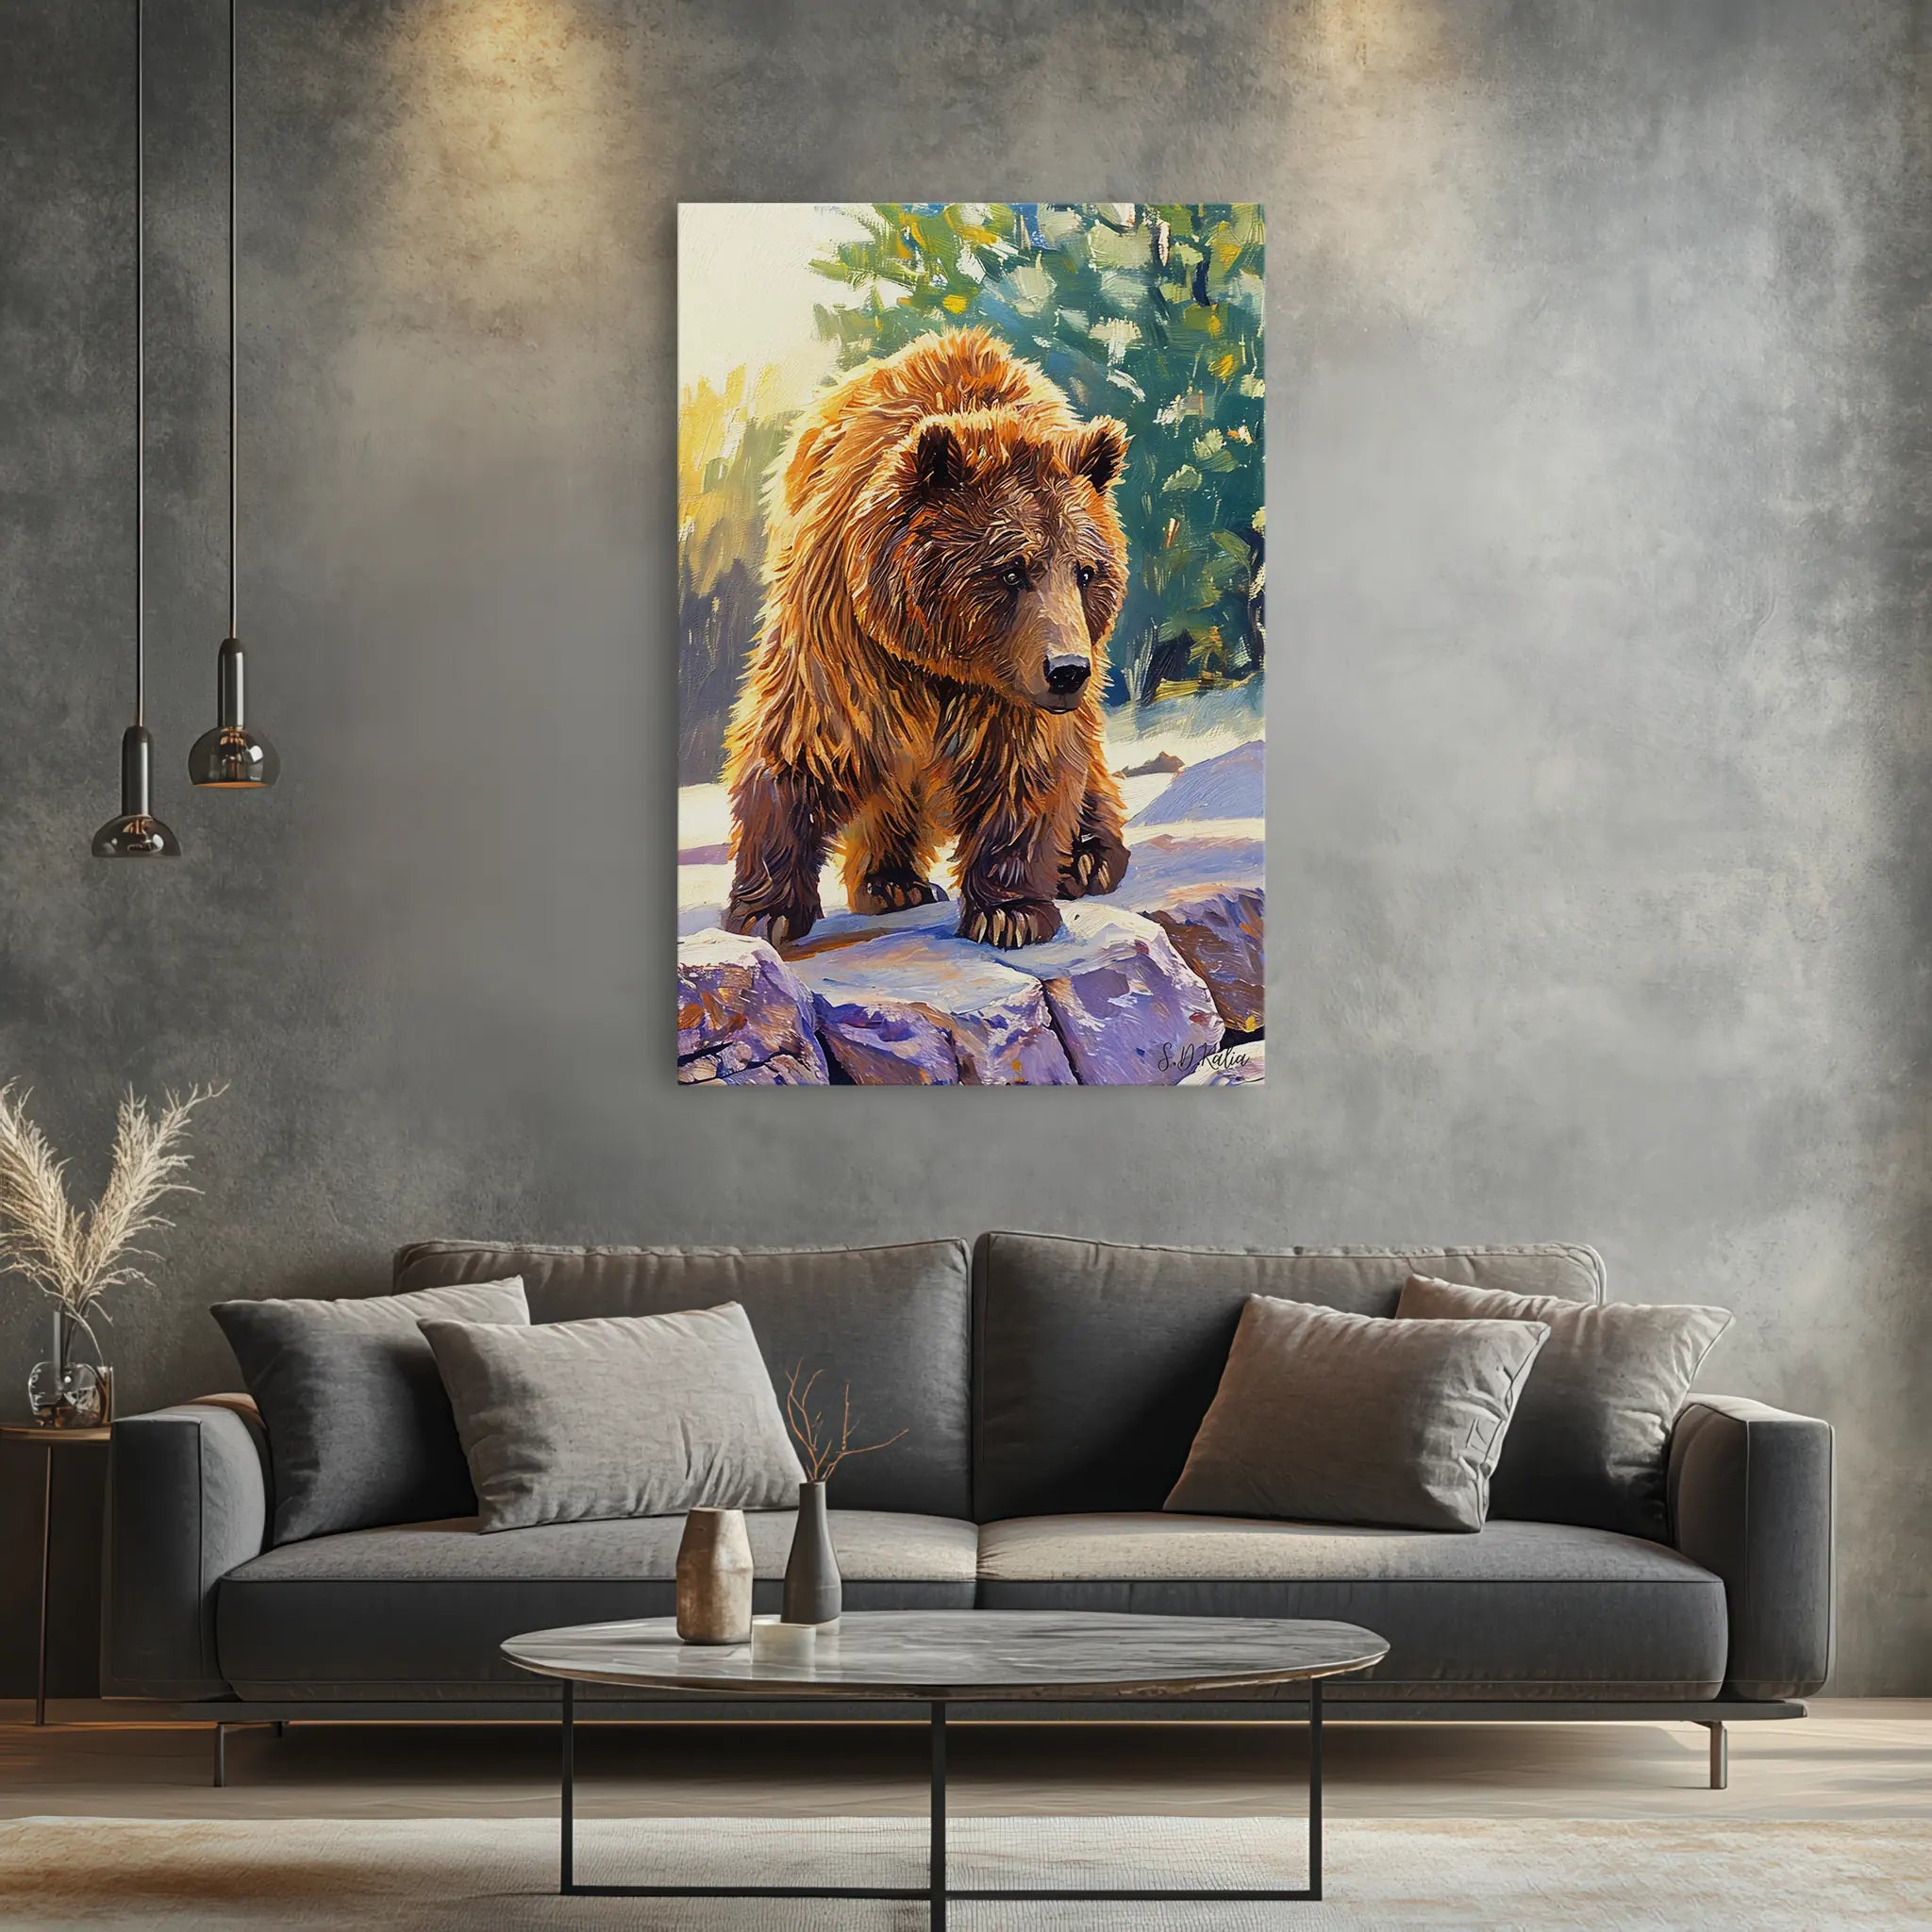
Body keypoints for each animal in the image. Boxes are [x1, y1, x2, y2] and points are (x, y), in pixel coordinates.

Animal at [720, 327, 1133, 950]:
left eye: (1085, 571)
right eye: (1011, 570)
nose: (1067, 670)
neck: (941, 657)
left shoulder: (1010, 685)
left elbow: (1023, 763)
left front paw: (1009, 911)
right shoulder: (843, 640)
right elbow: (802, 743)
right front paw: (764, 910)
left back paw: (1088, 858)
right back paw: (891, 882)